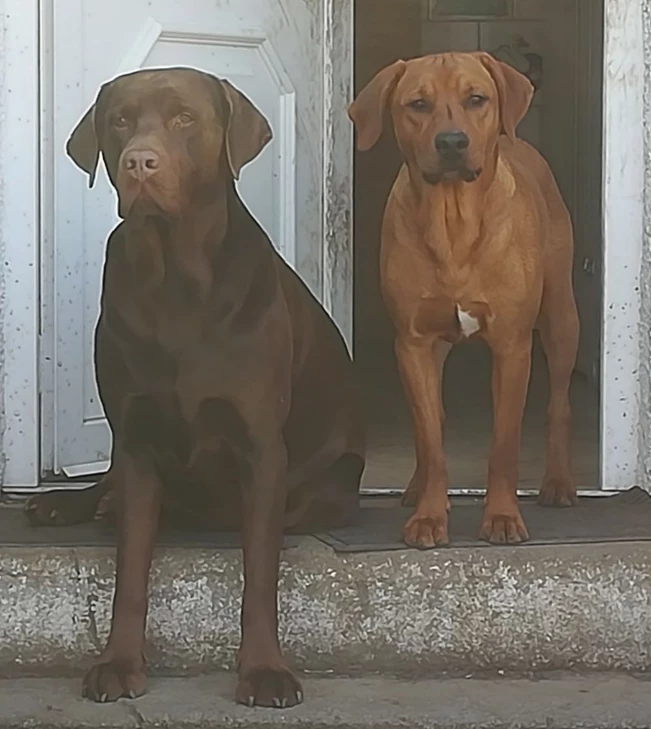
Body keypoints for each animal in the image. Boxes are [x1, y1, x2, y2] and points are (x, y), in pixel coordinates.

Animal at [25, 67, 365, 708]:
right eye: (120, 121)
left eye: (184, 119)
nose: (139, 162)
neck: (174, 282)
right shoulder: (135, 440)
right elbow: (131, 570)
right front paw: (118, 662)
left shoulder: (261, 447)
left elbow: (260, 573)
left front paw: (264, 670)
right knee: (109, 485)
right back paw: (71, 504)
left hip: (330, 484)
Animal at [349, 52, 579, 548]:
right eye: (417, 104)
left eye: (477, 99)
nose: (452, 142)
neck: (452, 222)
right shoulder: (413, 343)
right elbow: (431, 438)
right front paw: (430, 515)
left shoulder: (513, 347)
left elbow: (504, 445)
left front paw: (503, 516)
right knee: (430, 420)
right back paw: (417, 487)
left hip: (561, 317)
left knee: (559, 403)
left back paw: (558, 482)